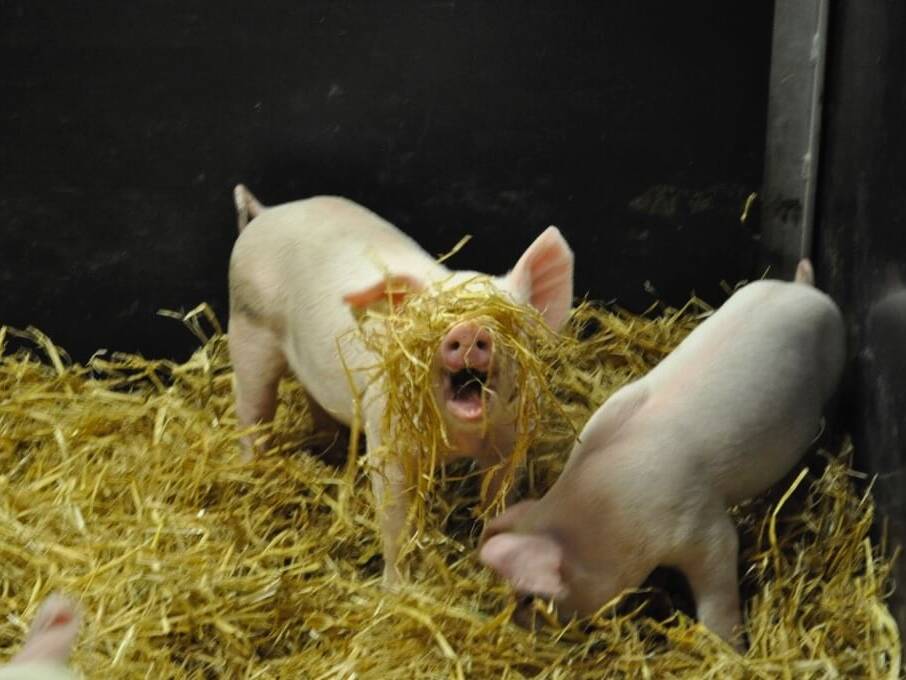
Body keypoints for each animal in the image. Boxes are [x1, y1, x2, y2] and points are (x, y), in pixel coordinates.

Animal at [226, 186, 572, 584]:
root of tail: (268, 212)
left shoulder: (508, 440)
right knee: (252, 410)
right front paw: (397, 589)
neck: (458, 439)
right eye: (429, 320)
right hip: (248, 330)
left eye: (508, 321)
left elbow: (497, 501)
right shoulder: (387, 438)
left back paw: (330, 455)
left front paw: (490, 567)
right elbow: (394, 520)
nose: (470, 330)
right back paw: (253, 470)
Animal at [476, 258, 844, 644]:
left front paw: (731, 647)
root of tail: (804, 289)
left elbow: (720, 574)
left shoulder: (698, 524)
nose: (516, 623)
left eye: (532, 599)